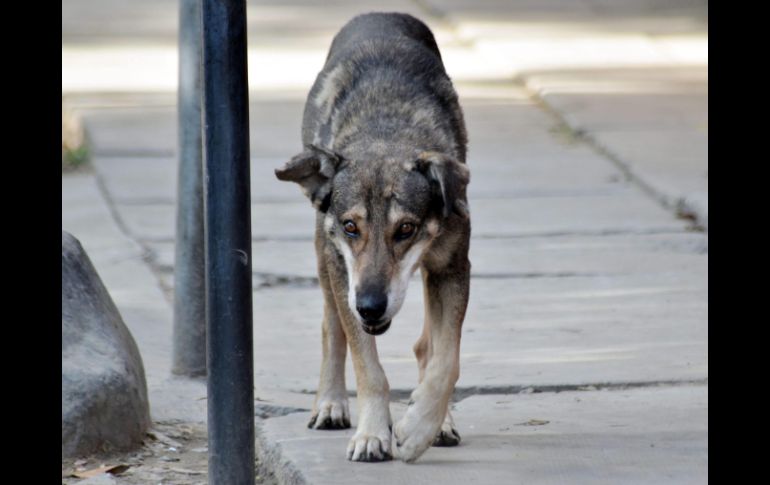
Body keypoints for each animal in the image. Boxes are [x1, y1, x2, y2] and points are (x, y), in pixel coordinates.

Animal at [276, 13, 468, 464]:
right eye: (351, 227)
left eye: (406, 229)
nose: (369, 306)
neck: (385, 132)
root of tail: (380, 14)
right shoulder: (344, 274)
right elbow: (369, 368)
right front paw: (371, 434)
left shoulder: (454, 268)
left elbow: (446, 360)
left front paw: (419, 428)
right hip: (325, 261)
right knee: (332, 328)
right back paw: (330, 405)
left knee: (425, 345)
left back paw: (440, 422)